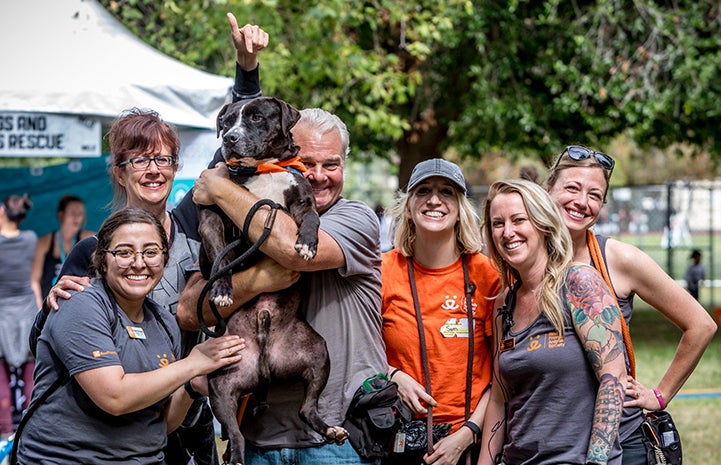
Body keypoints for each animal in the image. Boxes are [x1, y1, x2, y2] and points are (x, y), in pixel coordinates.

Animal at [194, 96, 346, 462]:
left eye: (256, 117)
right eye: (226, 121)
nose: (229, 138)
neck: (264, 167)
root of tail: (264, 366)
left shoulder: (303, 202)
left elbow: (312, 219)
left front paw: (307, 244)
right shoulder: (211, 217)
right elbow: (220, 257)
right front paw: (222, 289)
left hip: (317, 353)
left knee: (307, 408)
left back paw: (330, 429)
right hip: (220, 386)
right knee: (236, 434)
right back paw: (235, 457)